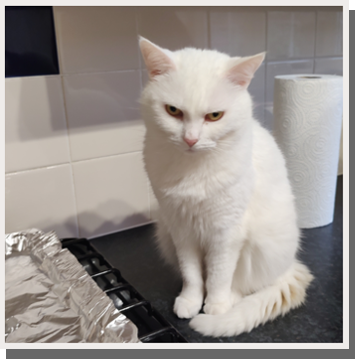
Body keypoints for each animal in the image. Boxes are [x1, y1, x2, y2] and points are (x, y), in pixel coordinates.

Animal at [139, 37, 314, 338]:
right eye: (173, 111)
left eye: (215, 116)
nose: (191, 140)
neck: (193, 170)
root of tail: (289, 265)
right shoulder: (181, 229)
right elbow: (192, 274)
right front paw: (190, 300)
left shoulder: (226, 232)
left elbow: (219, 275)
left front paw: (215, 304)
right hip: (165, 234)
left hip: (259, 246)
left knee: (244, 286)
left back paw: (228, 301)